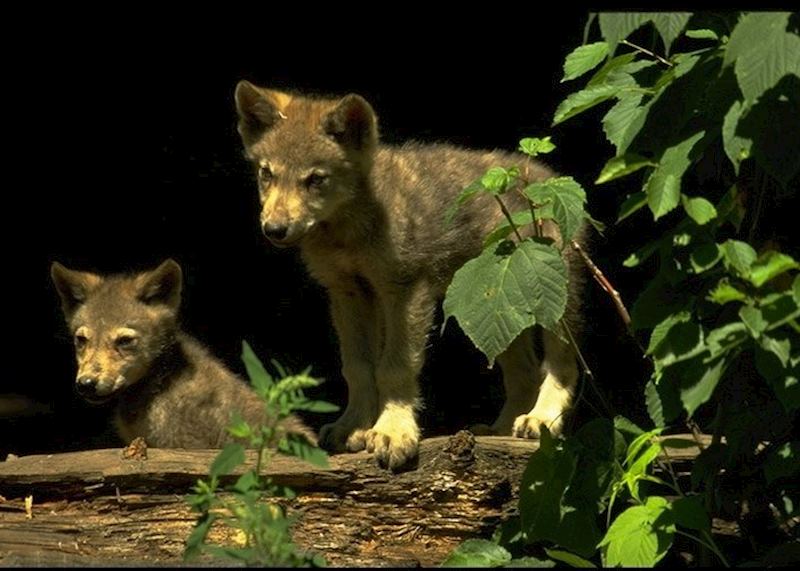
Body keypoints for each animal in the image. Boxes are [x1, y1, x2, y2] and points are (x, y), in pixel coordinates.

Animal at [234, 82, 587, 470]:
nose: (274, 229)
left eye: (315, 179)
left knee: (562, 364)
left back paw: (541, 419)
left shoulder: (406, 289)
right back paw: (500, 428)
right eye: (267, 174)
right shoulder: (348, 293)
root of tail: (546, 175)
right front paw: (353, 426)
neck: (347, 232)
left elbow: (395, 367)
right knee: (524, 372)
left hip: (554, 304)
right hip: (497, 311)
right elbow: (357, 368)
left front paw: (393, 432)